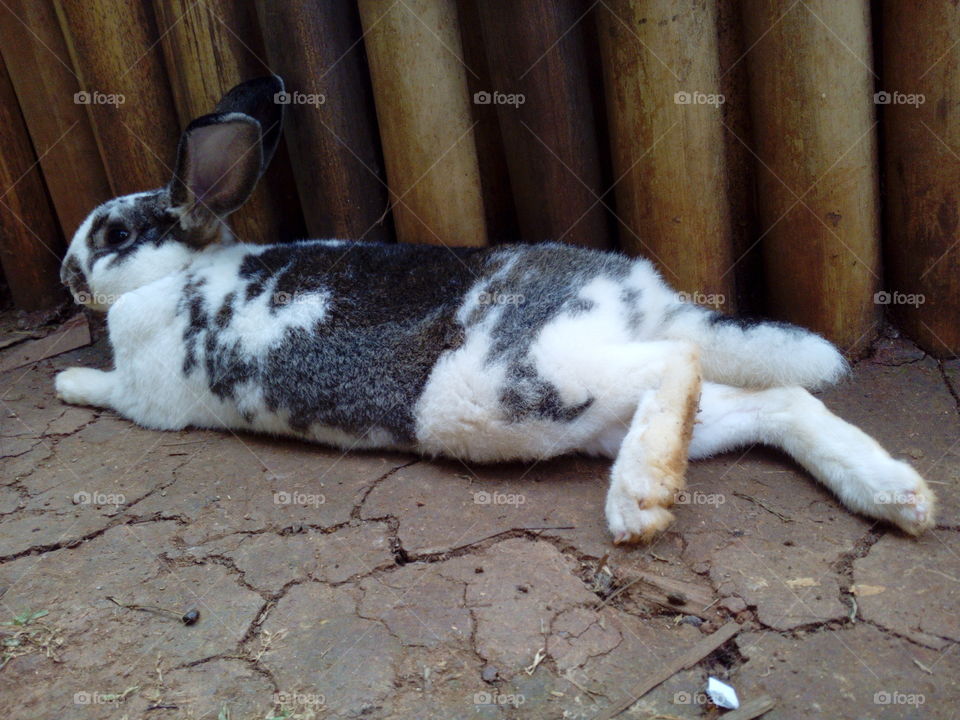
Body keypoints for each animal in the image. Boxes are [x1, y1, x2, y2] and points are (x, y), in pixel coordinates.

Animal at [55, 76, 935, 544]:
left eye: (115, 234)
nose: (65, 277)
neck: (173, 278)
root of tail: (646, 297)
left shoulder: (145, 395)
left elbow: (105, 391)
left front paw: (66, 384)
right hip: (592, 407)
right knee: (775, 401)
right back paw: (897, 494)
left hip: (522, 383)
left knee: (677, 360)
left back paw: (638, 500)